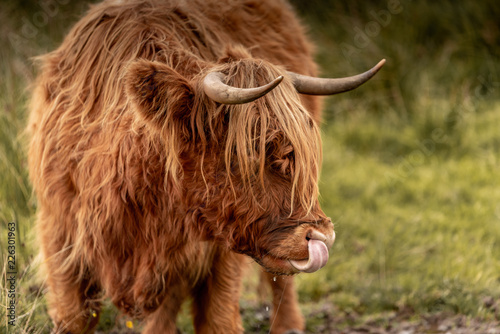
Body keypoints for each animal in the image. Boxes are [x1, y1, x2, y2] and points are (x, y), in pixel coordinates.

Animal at [27, 0, 382, 332]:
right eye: (246, 154)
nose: (322, 236)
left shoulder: (211, 258)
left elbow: (216, 320)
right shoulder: (60, 237)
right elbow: (74, 318)